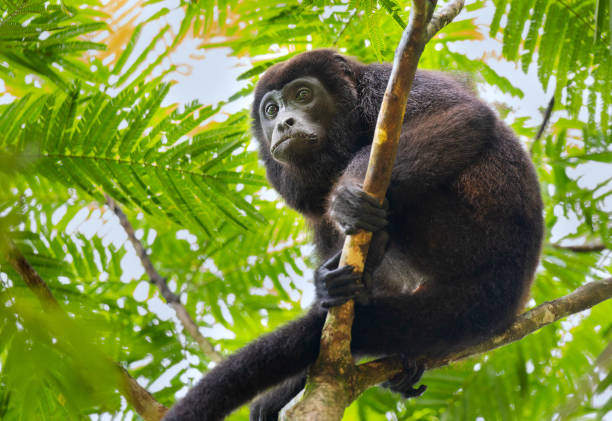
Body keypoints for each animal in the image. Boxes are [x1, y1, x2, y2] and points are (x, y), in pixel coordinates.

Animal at [164, 50, 544, 420]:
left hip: (466, 241)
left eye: (303, 95)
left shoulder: (386, 84)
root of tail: (512, 282)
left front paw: (345, 197)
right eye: (271, 110)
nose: (285, 123)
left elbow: (463, 115)